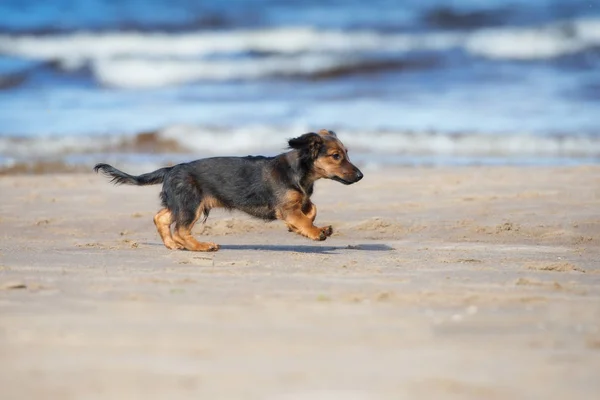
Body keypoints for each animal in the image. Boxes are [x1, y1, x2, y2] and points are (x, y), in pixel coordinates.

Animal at [96, 130, 364, 252]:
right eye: (336, 156)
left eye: (346, 153)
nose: (361, 176)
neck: (298, 171)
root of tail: (171, 169)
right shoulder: (286, 208)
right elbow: (303, 217)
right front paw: (316, 232)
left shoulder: (299, 201)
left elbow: (311, 208)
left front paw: (300, 228)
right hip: (192, 204)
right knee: (181, 229)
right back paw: (202, 246)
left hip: (182, 203)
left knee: (161, 217)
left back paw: (173, 245)